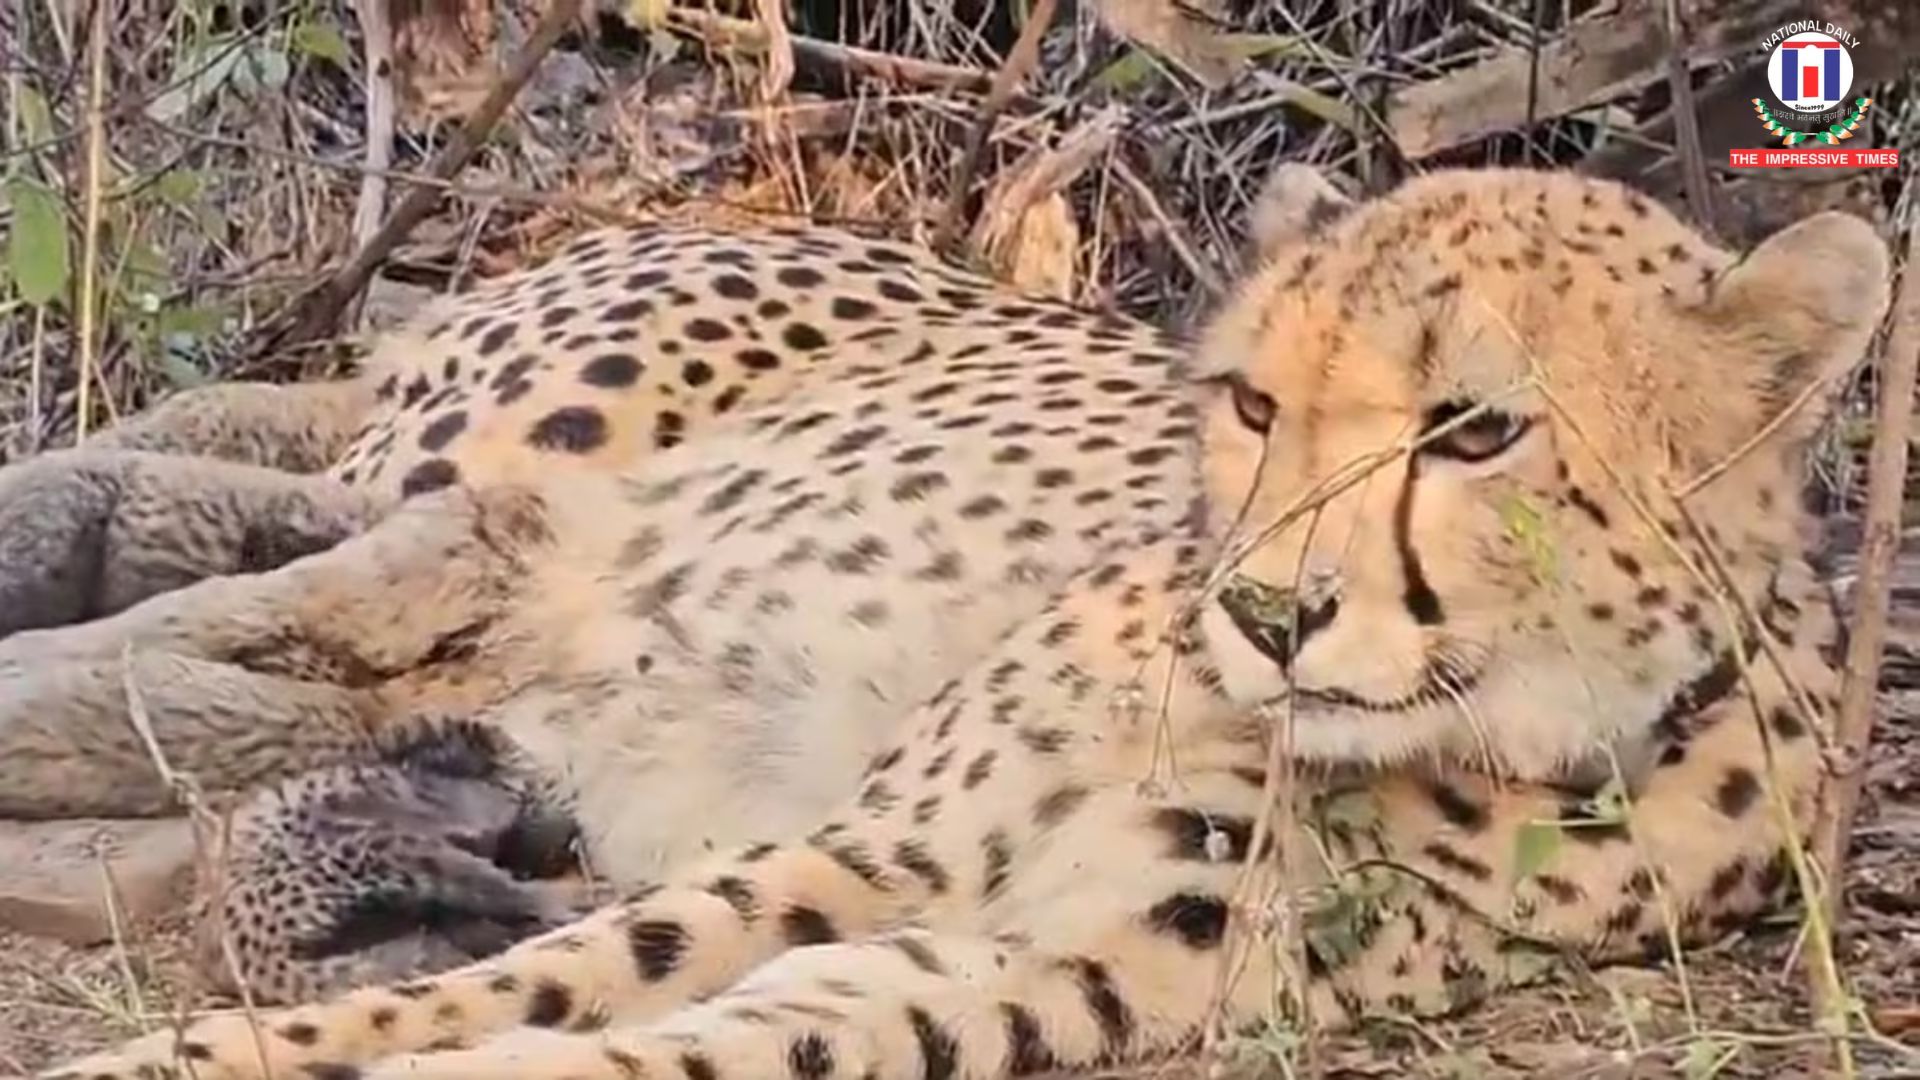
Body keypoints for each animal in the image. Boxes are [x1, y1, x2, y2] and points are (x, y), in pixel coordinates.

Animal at [10, 164, 1886, 1080]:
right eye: (1254, 405)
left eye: (1477, 431)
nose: (1262, 609)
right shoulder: (880, 850)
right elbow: (554, 980)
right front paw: (197, 1058)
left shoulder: (1037, 964)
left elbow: (696, 1037)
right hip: (537, 492)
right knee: (242, 621)